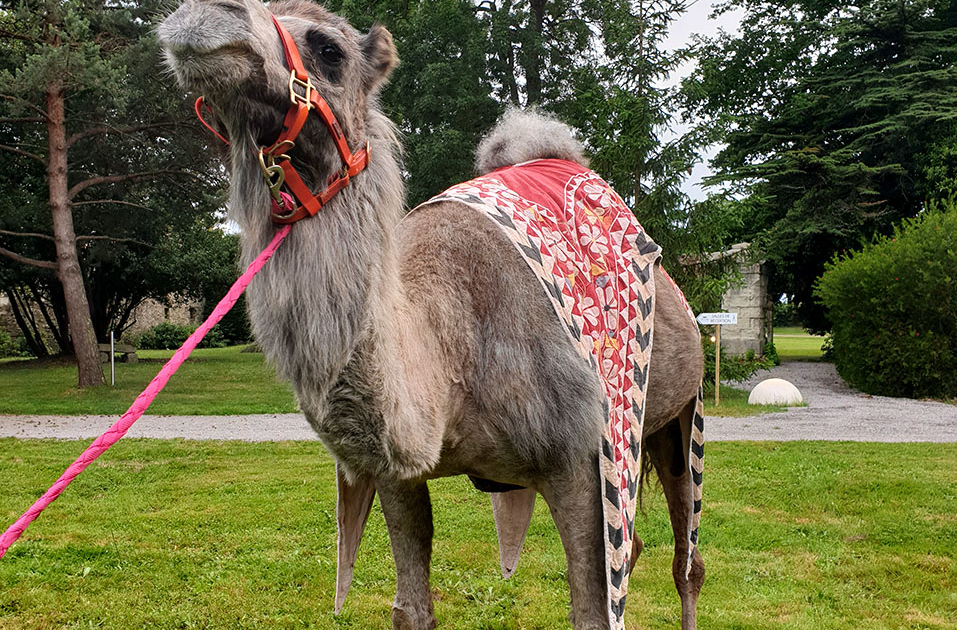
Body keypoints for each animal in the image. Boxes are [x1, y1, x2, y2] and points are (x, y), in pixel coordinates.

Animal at [159, 2, 704, 628]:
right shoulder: (394, 475)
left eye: (328, 50)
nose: (201, 20)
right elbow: (412, 605)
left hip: (674, 416)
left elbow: (592, 611)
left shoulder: (581, 459)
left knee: (685, 562)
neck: (448, 363)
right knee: (638, 550)